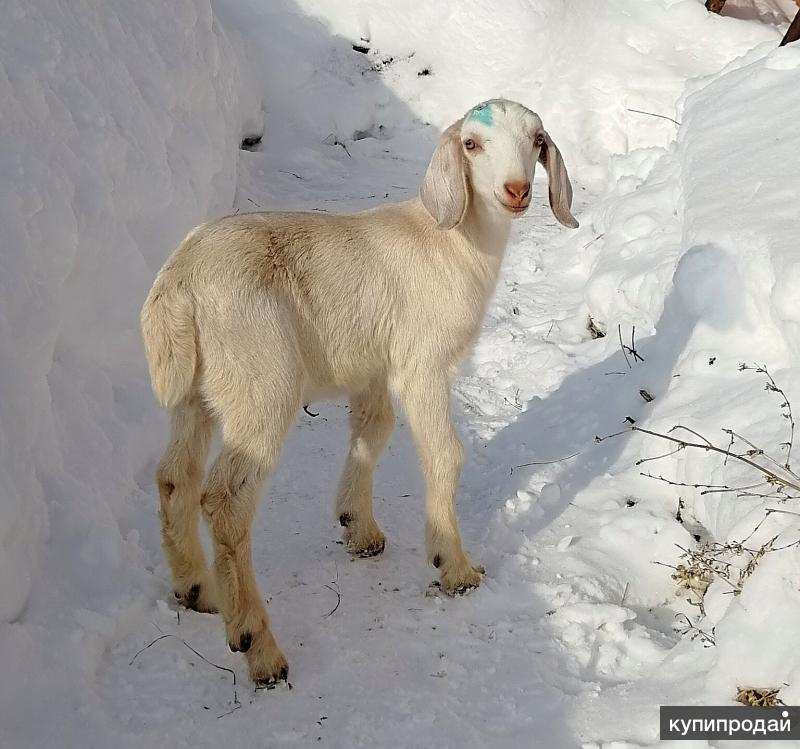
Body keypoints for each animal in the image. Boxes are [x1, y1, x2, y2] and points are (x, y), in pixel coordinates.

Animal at [142, 99, 576, 684]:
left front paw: (359, 527)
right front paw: (455, 568)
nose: (516, 190)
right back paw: (257, 645)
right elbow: (445, 454)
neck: (452, 242)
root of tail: (179, 284)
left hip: (198, 391)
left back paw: (196, 590)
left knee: (174, 477)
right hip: (261, 383)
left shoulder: (372, 367)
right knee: (225, 501)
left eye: (536, 140)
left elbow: (373, 430)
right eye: (471, 144)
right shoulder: (421, 364)